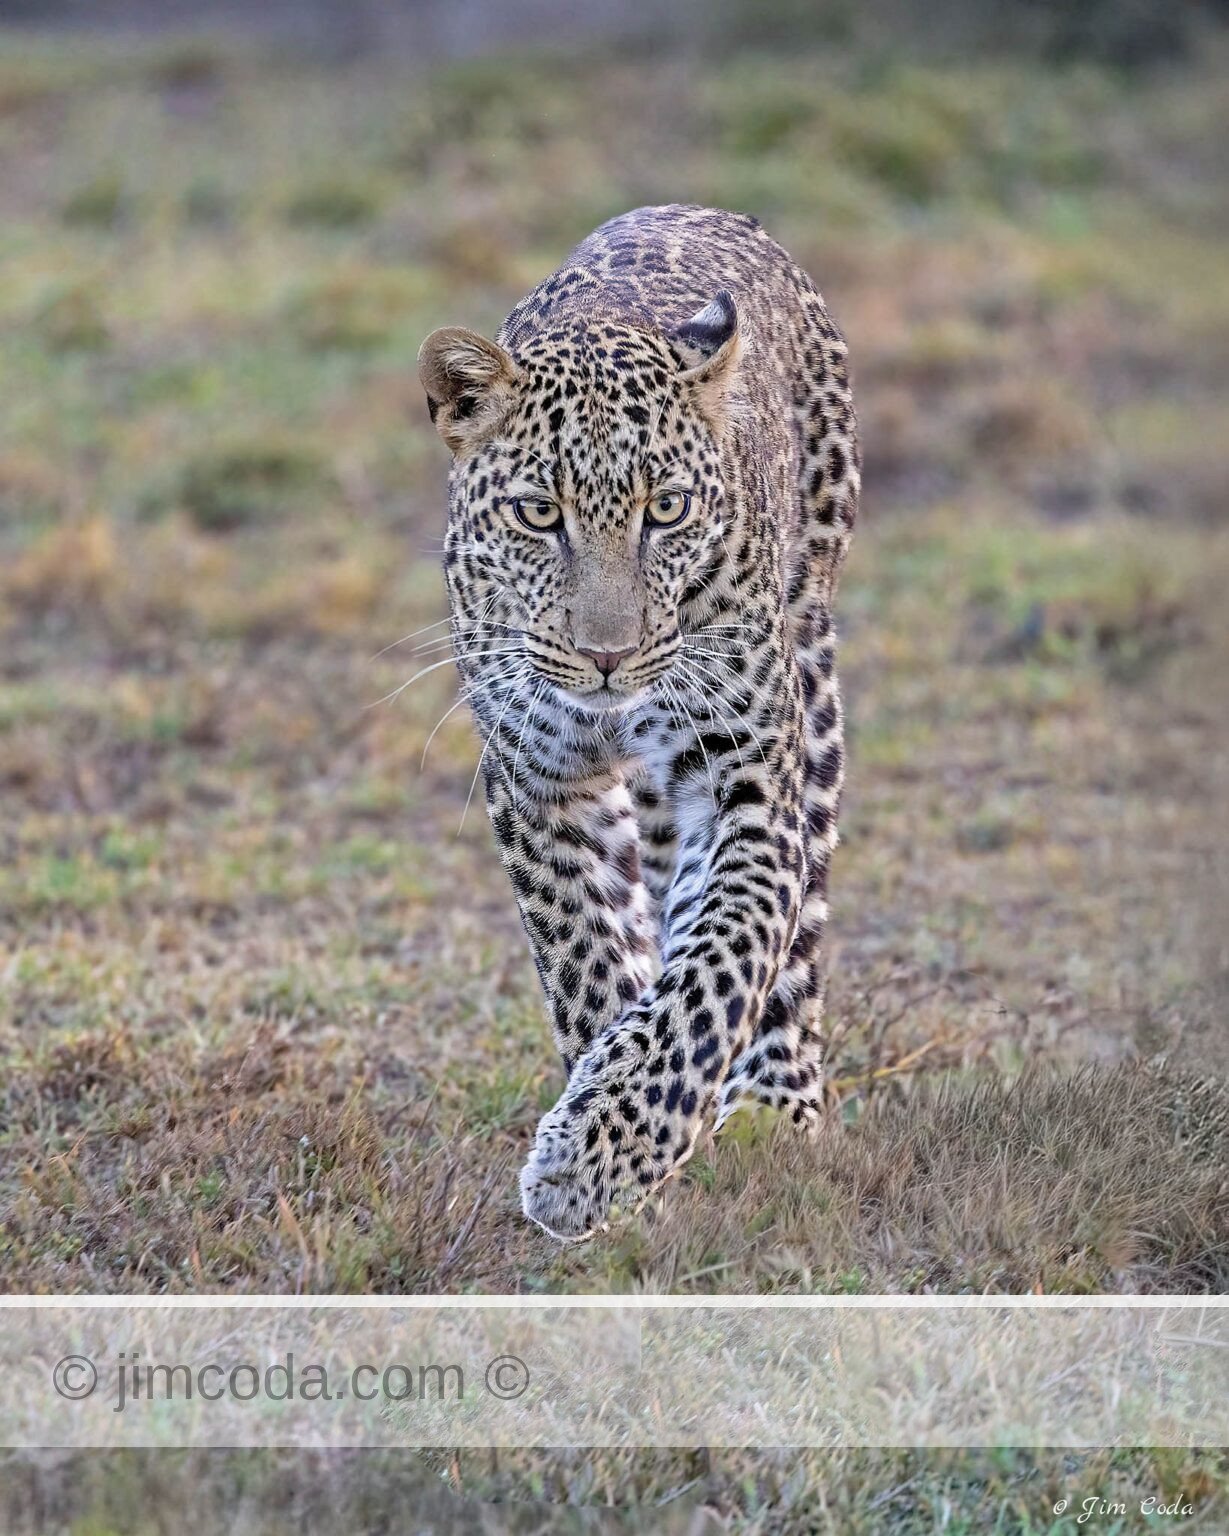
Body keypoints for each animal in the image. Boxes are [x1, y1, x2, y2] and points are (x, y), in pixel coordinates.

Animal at [418, 203, 859, 1241]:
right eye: (539, 514)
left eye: (667, 509)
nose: (607, 656)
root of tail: (693, 208)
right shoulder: (536, 781)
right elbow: (587, 955)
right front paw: (617, 1146)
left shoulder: (744, 778)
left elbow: (721, 961)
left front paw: (594, 1160)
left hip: (810, 667)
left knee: (793, 933)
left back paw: (778, 1106)